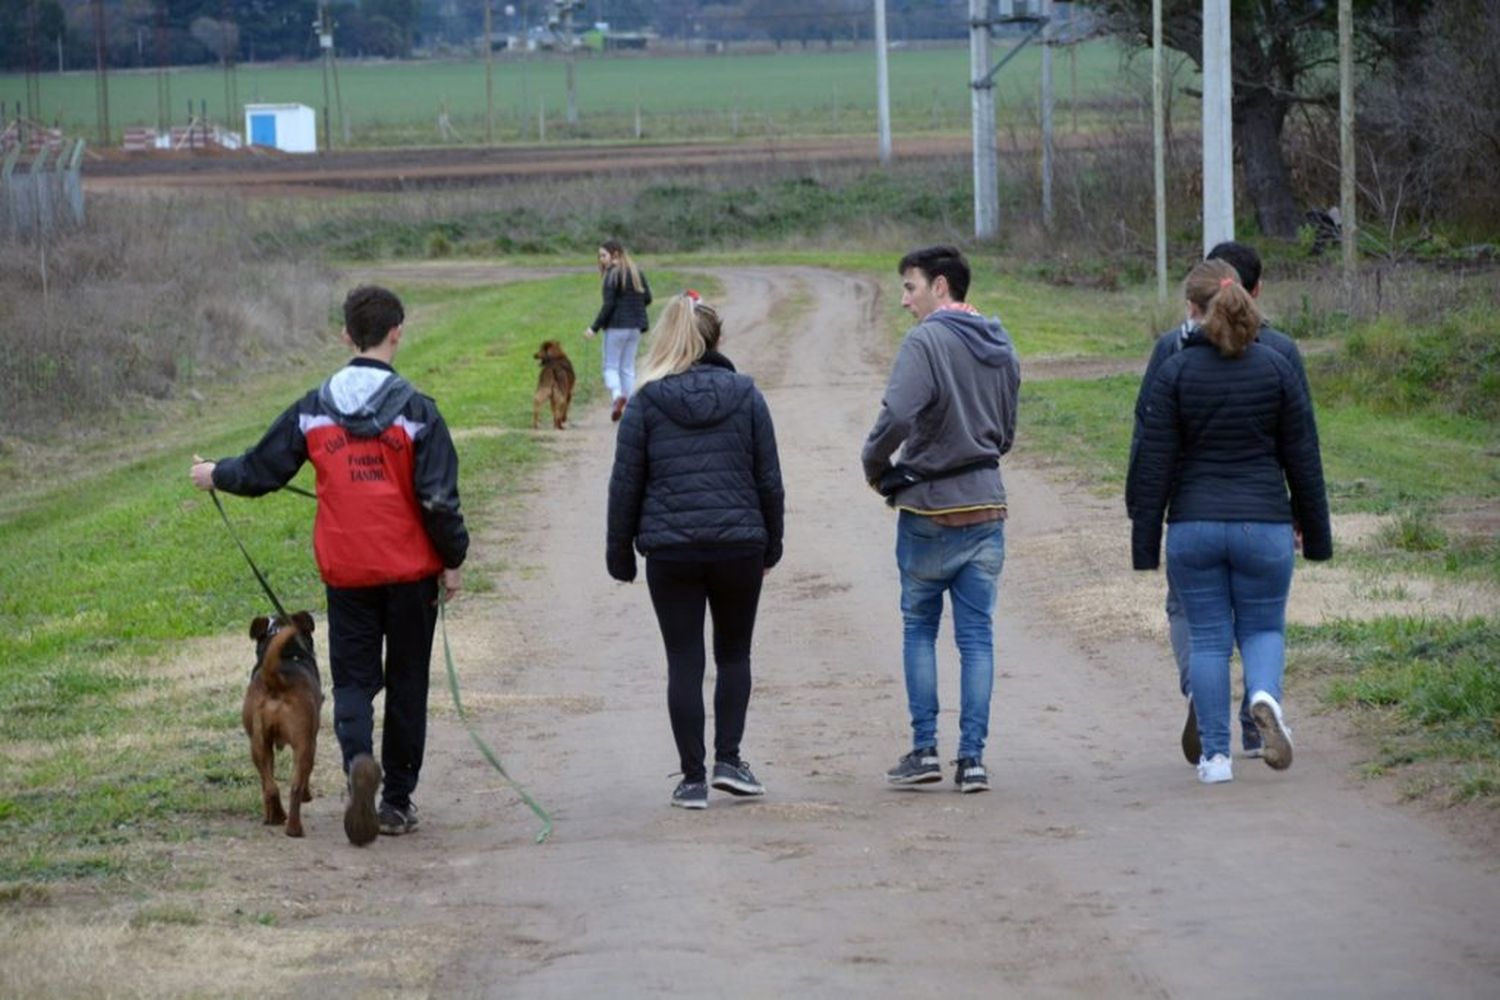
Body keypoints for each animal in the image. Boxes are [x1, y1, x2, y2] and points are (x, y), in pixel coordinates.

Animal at [243, 614, 322, 839]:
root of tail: (276, 680)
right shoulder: (312, 740)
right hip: (304, 746)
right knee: (295, 786)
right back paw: (294, 828)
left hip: (258, 745)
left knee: (270, 786)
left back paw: (276, 817)